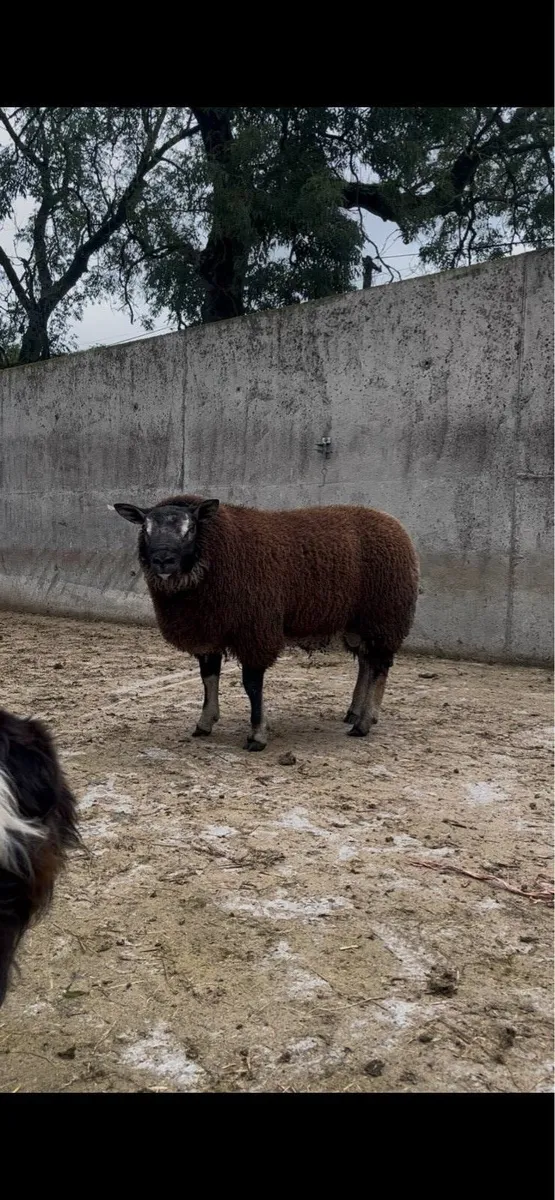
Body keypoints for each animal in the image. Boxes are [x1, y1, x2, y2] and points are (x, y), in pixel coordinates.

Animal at [113, 495, 419, 752]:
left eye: (190, 530)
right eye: (146, 529)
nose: (162, 560)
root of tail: (393, 522)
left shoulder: (255, 630)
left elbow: (251, 685)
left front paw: (257, 735)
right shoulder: (209, 630)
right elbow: (208, 678)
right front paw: (205, 722)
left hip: (384, 616)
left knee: (379, 667)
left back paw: (364, 722)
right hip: (357, 623)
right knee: (367, 663)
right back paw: (354, 712)